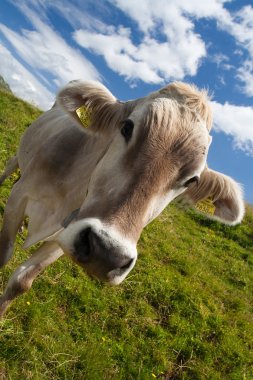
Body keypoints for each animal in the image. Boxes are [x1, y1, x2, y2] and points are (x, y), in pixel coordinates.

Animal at [0, 81, 245, 318]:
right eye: (127, 127)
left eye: (192, 180)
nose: (107, 254)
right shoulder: (19, 197)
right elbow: (4, 254)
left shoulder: (64, 236)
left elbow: (22, 281)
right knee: (11, 165)